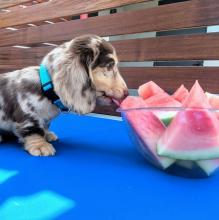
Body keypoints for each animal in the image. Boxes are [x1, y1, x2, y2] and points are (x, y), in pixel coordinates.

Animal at [0, 34, 128, 156]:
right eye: (109, 66)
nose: (127, 93)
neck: (45, 88)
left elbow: (45, 127)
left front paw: (47, 135)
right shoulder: (28, 115)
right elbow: (34, 131)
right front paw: (40, 145)